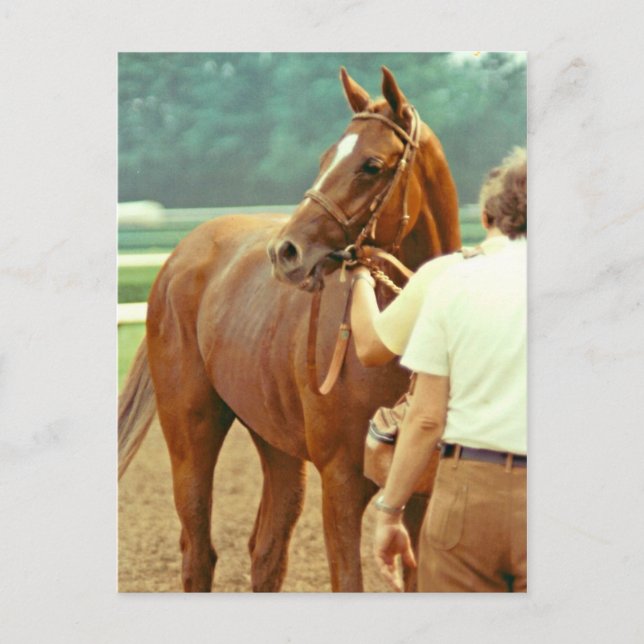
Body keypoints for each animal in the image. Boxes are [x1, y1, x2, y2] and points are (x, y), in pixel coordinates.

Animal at [118, 66, 461, 592]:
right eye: (326, 158)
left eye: (371, 165)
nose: (286, 251)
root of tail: (178, 257)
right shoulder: (340, 481)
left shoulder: (420, 494)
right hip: (191, 432)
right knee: (198, 552)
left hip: (277, 444)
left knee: (266, 553)